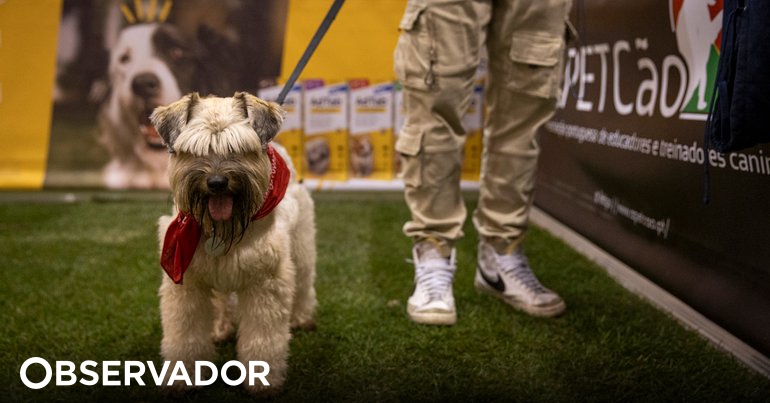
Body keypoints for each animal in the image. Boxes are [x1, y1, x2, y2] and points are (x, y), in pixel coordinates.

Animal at [148, 90, 316, 394]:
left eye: (238, 148)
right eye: (196, 151)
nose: (217, 182)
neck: (221, 229)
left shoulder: (265, 282)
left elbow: (263, 338)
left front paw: (262, 381)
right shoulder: (187, 282)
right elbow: (185, 333)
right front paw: (183, 377)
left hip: (302, 249)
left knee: (304, 285)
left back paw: (301, 318)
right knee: (222, 302)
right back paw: (220, 329)